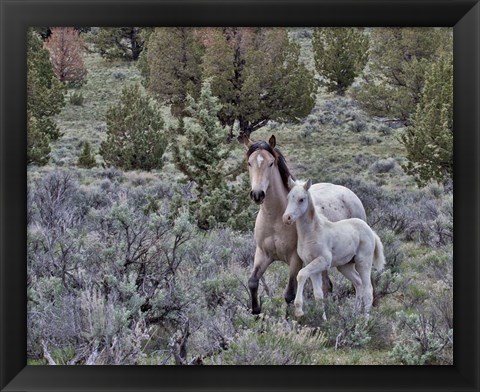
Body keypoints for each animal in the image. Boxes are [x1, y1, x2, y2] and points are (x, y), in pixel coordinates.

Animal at [284, 178, 384, 318]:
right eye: (288, 198)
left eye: (301, 199)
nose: (286, 218)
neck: (312, 233)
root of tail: (371, 231)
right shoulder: (311, 263)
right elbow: (318, 294)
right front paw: (323, 319)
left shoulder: (323, 261)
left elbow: (301, 274)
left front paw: (299, 310)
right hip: (345, 266)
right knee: (358, 283)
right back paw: (353, 315)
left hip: (363, 262)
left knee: (368, 289)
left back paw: (365, 320)